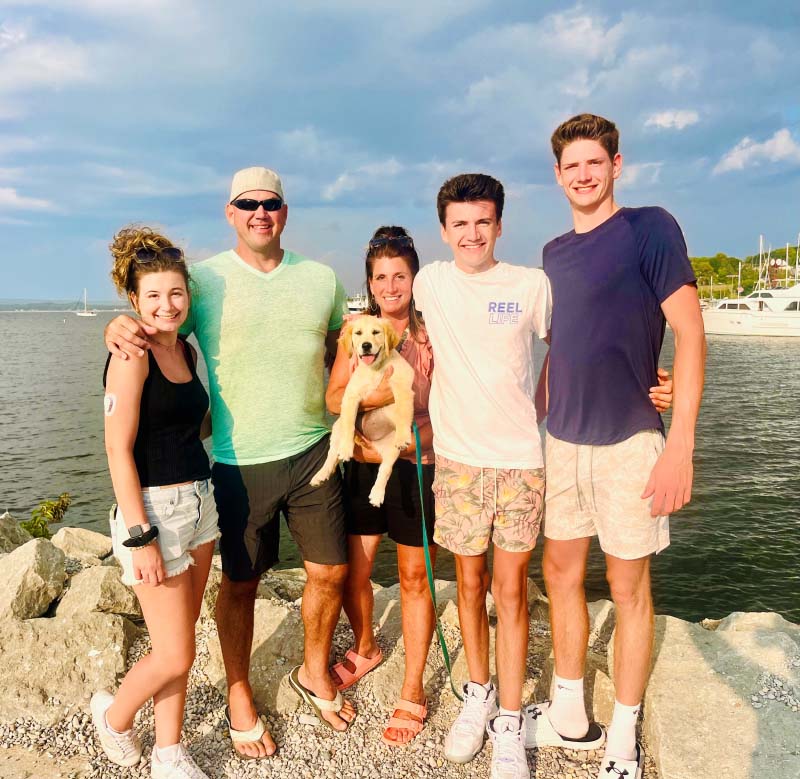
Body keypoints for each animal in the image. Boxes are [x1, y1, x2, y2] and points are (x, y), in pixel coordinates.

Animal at [310, 314, 416, 508]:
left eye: (376, 332)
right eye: (358, 333)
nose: (366, 345)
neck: (375, 369)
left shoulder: (402, 387)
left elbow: (403, 413)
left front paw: (403, 437)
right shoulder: (351, 396)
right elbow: (349, 424)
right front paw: (346, 449)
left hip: (391, 450)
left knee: (385, 469)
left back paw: (377, 494)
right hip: (336, 428)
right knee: (332, 455)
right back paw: (321, 474)